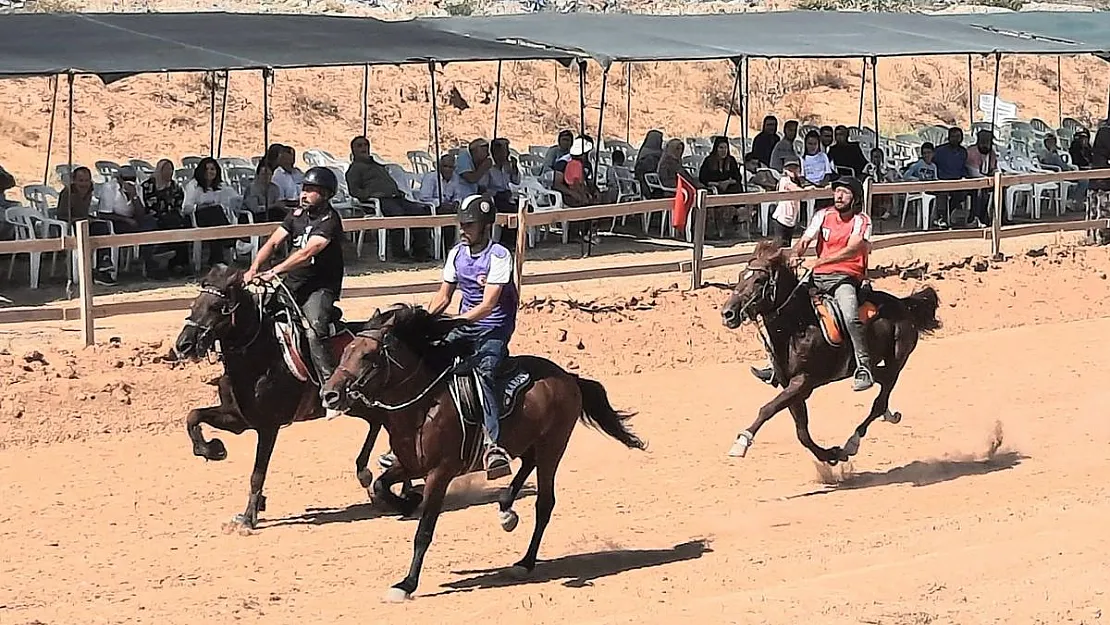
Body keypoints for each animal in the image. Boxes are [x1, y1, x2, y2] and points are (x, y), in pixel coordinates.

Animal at [170, 266, 397, 530]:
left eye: (217, 306)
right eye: (194, 304)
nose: (183, 345)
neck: (259, 355)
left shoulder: (268, 426)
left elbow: (258, 473)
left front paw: (248, 517)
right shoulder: (237, 417)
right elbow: (193, 416)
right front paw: (213, 449)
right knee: (378, 421)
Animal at [321, 306, 648, 603]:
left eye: (368, 356)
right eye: (346, 350)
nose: (329, 394)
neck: (424, 406)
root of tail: (567, 376)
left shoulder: (440, 472)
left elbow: (424, 531)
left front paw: (406, 584)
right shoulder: (410, 465)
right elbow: (380, 486)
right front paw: (406, 501)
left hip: (552, 446)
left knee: (544, 503)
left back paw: (524, 562)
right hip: (528, 444)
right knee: (524, 467)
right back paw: (505, 508)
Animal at [714, 242, 941, 466]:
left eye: (759, 280)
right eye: (741, 276)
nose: (728, 314)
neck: (797, 326)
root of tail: (905, 305)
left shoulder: (803, 381)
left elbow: (768, 409)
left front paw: (741, 443)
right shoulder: (792, 387)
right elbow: (802, 431)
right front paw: (830, 454)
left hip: (897, 361)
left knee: (880, 401)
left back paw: (853, 441)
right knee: (881, 382)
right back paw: (885, 416)